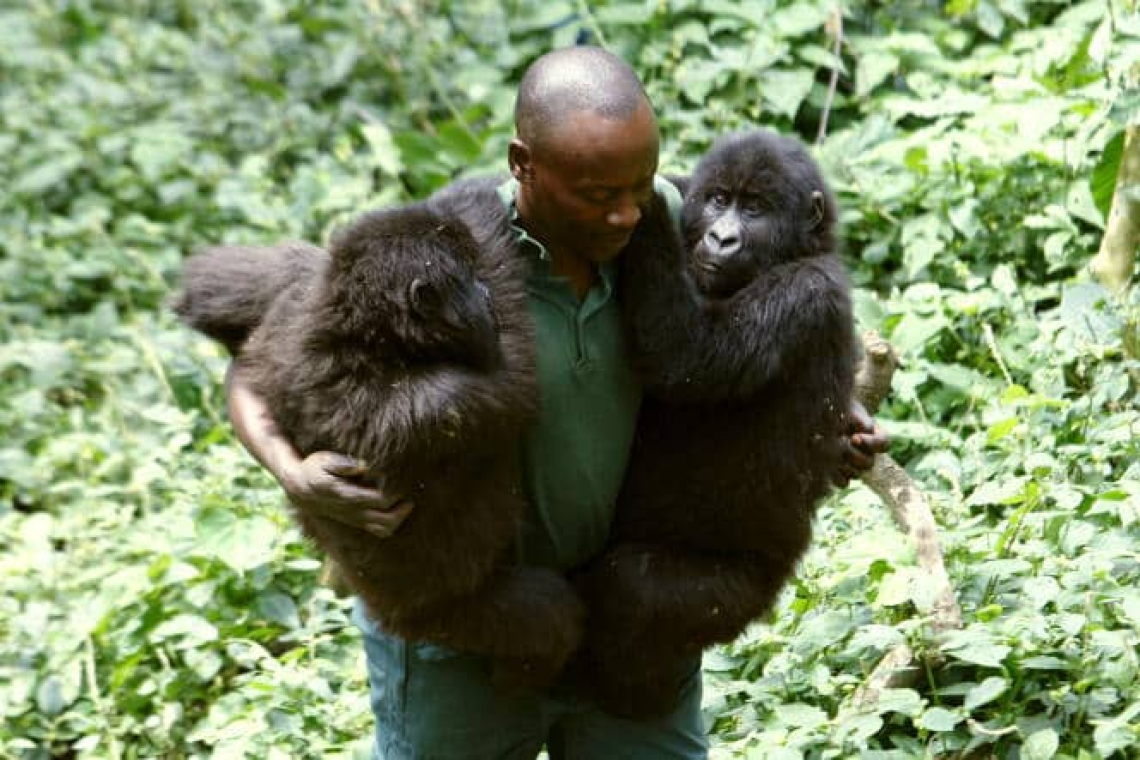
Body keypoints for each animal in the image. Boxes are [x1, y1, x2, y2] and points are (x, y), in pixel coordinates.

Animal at [177, 201, 588, 688]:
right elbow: (515, 372)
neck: (372, 337)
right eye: (468, 281)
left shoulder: (302, 294)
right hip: (443, 620)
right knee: (549, 613)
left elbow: (219, 292)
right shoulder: (449, 400)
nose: (484, 297)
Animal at [579, 131, 857, 720]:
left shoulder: (807, 292)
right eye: (719, 199)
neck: (799, 249)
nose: (721, 237)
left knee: (635, 586)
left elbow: (691, 356)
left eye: (754, 209)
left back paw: (631, 689)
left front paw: (648, 209)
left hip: (745, 592)